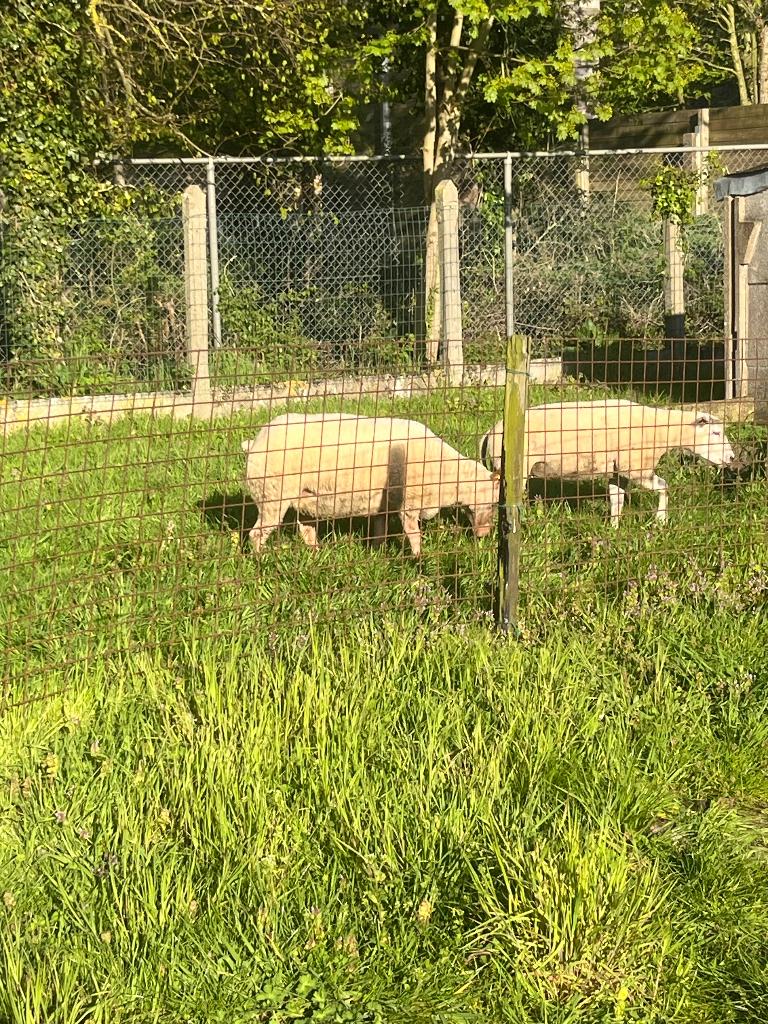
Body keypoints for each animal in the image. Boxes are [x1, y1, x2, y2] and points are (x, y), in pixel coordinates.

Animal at [242, 412, 500, 556]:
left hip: (305, 499)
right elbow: (414, 534)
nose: (484, 535)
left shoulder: (383, 504)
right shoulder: (408, 504)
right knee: (256, 534)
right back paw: (261, 561)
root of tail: (254, 442)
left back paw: (316, 555)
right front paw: (418, 560)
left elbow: (379, 532)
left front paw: (377, 555)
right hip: (272, 495)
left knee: (306, 531)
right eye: (494, 504)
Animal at [479, 399, 737, 527]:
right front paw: (661, 520)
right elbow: (664, 486)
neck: (661, 430)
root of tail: (490, 432)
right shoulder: (635, 467)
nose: (732, 458)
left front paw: (613, 529)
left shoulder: (618, 471)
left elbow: (617, 499)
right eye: (715, 432)